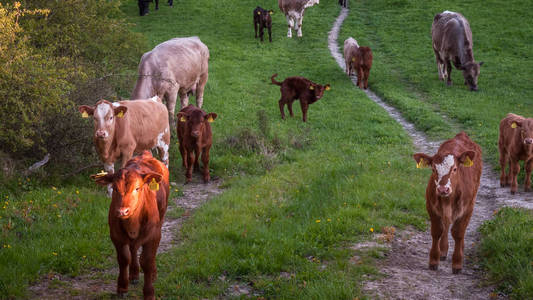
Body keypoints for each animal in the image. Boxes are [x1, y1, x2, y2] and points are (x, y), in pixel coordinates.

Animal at [90, 151, 167, 300]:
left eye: (137, 188)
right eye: (114, 188)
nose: (122, 211)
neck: (133, 223)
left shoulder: (153, 235)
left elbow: (147, 261)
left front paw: (149, 292)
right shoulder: (115, 235)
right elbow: (124, 259)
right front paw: (122, 287)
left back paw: (152, 274)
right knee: (133, 249)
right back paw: (134, 274)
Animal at [412, 132, 482, 274]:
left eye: (454, 169)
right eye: (433, 169)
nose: (443, 189)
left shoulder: (468, 208)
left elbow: (458, 233)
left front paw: (457, 263)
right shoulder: (431, 207)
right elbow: (437, 231)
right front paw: (434, 259)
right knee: (446, 224)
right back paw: (443, 251)